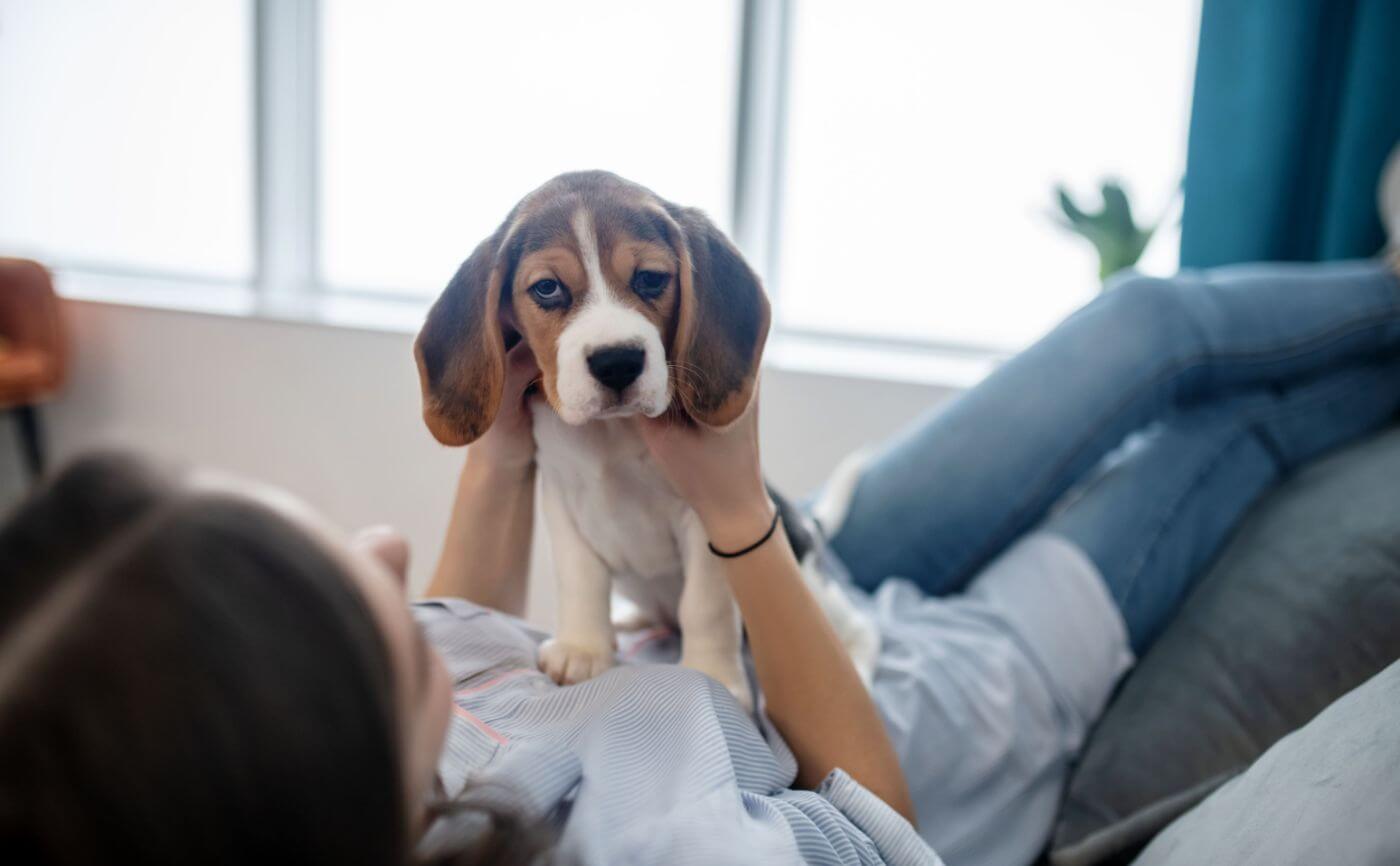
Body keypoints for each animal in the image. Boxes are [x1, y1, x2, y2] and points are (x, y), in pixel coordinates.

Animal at [411, 171, 873, 710]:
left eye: (651, 278)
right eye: (546, 288)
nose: (617, 362)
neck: (611, 432)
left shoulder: (706, 511)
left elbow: (705, 604)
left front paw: (714, 674)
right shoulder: (562, 498)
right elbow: (581, 578)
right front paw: (583, 648)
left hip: (813, 583)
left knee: (859, 626)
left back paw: (861, 668)